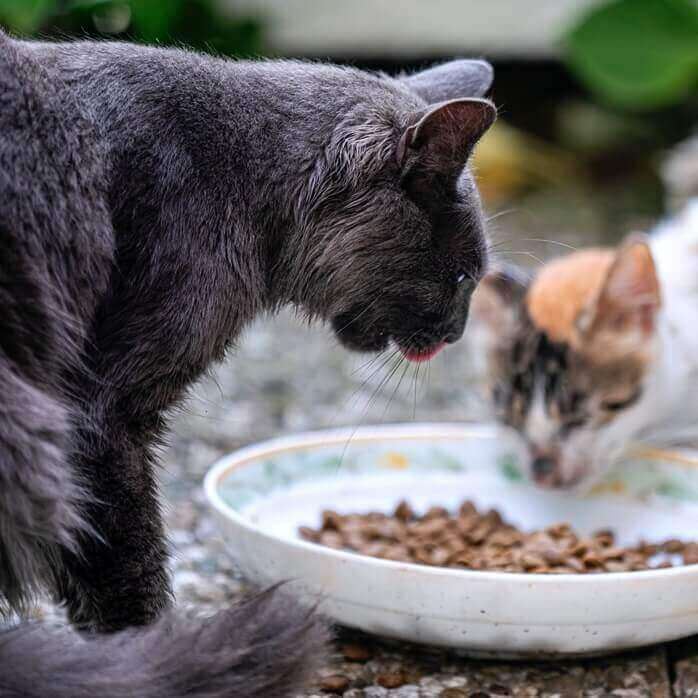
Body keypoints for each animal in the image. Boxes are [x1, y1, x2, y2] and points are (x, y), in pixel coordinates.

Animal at [0, 29, 494, 692]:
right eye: (463, 277)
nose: (458, 333)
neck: (243, 177)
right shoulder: (100, 414)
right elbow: (127, 560)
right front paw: (157, 654)